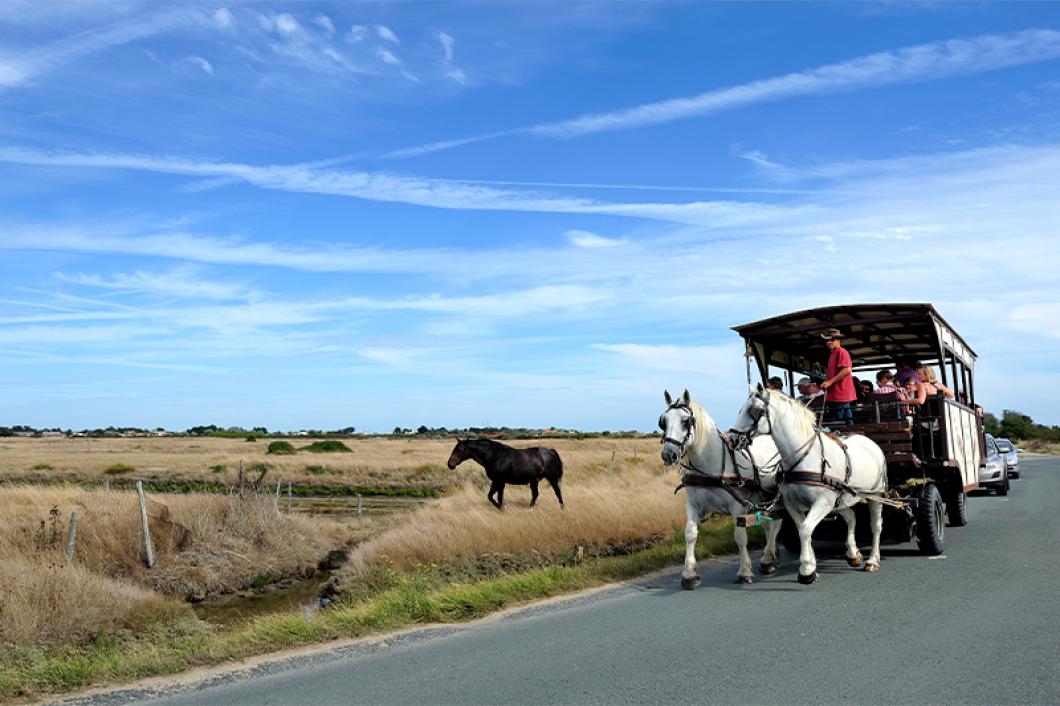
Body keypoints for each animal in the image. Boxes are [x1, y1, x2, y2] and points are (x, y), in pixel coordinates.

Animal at [657, 387, 784, 585]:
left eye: (686, 421)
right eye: (663, 421)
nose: (669, 454)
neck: (711, 466)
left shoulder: (737, 506)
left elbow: (740, 537)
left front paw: (744, 572)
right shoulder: (693, 504)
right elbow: (690, 534)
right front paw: (689, 574)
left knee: (776, 522)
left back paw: (768, 559)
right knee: (768, 523)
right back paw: (771, 554)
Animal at [729, 385, 886, 580]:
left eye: (755, 410)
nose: (731, 439)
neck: (807, 457)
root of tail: (871, 442)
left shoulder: (822, 503)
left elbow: (805, 530)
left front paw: (806, 570)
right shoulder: (793, 504)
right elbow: (803, 530)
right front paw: (811, 564)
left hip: (875, 494)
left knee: (876, 526)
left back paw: (873, 560)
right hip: (840, 500)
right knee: (851, 517)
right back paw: (853, 554)